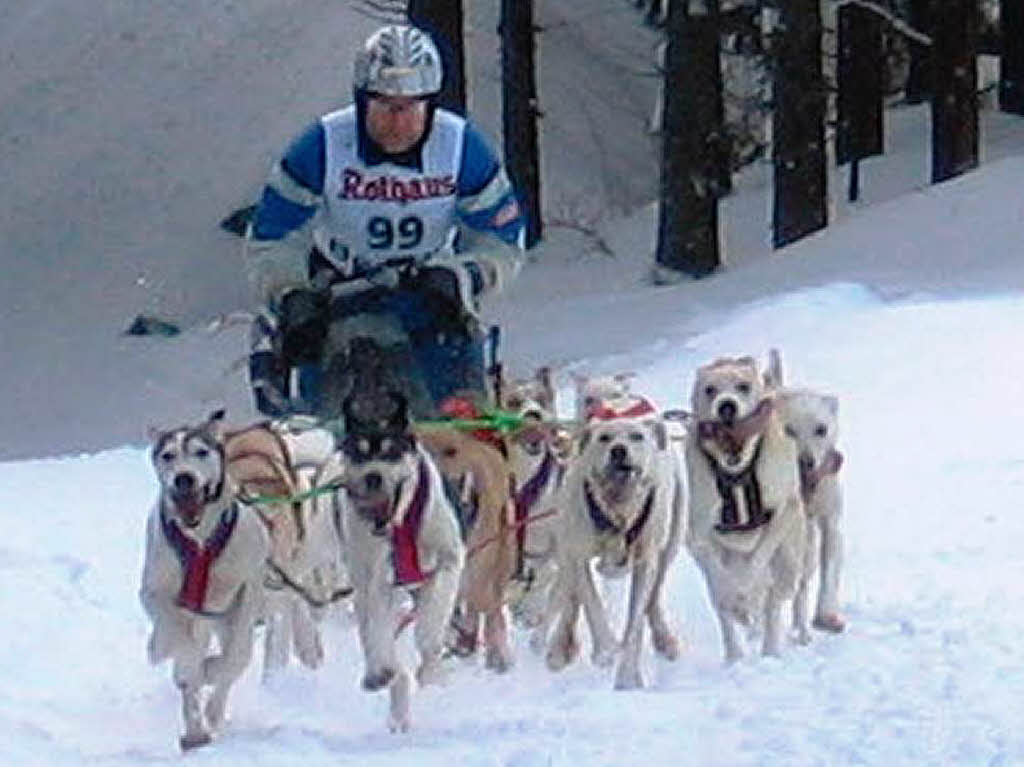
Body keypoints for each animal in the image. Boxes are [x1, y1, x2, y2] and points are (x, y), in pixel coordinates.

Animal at [142, 409, 276, 749]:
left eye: (201, 452)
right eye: (168, 455)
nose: (183, 478)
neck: (201, 540)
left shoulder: (246, 591)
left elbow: (235, 659)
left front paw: (212, 676)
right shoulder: (156, 593)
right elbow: (177, 641)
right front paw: (180, 663)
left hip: (224, 617)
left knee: (228, 660)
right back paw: (194, 728)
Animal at [335, 391, 464, 733]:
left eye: (390, 451)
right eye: (358, 452)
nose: (373, 477)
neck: (403, 521)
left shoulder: (450, 562)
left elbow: (431, 625)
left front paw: (430, 666)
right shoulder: (381, 580)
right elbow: (378, 630)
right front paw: (381, 671)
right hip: (364, 581)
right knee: (378, 639)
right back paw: (385, 680)